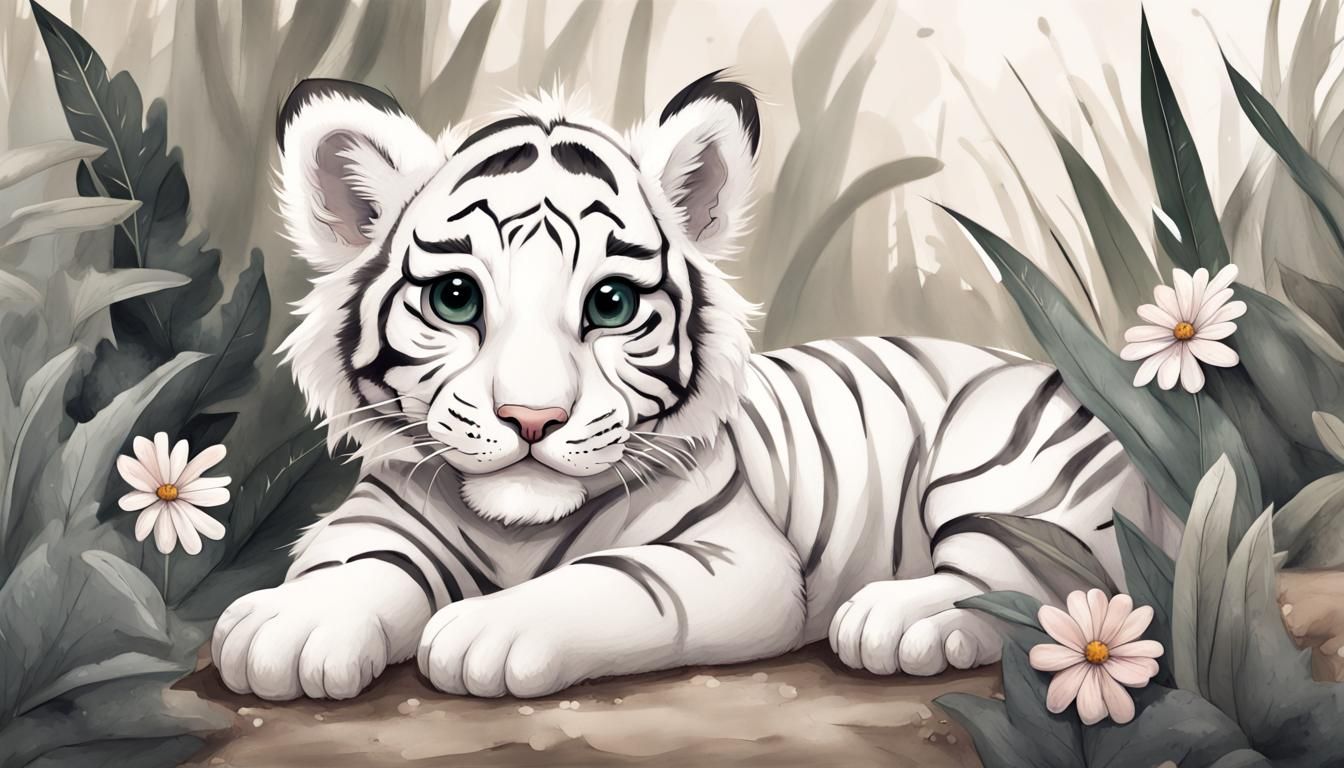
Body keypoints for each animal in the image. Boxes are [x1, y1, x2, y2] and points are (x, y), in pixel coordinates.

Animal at [210, 72, 1183, 701]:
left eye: (609, 304)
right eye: (456, 298)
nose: (532, 417)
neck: (516, 527)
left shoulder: (729, 558)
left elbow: (610, 583)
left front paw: (489, 628)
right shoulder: (379, 511)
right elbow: (356, 565)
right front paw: (288, 630)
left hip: (1000, 473)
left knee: (1036, 591)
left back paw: (893, 621)